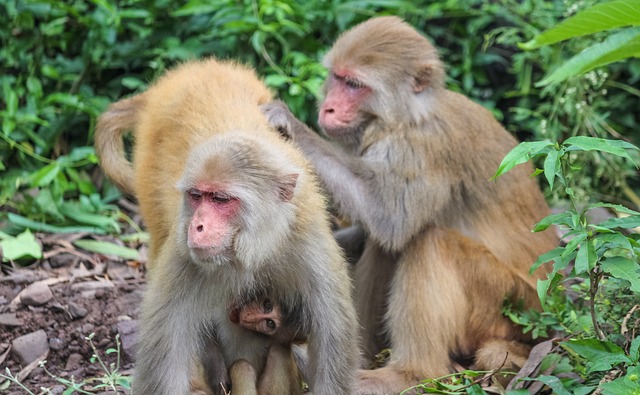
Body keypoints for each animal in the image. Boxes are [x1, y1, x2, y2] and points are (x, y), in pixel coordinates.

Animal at [94, 58, 360, 395]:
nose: (198, 226)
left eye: (220, 199)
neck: (255, 249)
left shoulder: (310, 246)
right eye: (196, 196)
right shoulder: (184, 258)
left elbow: (330, 353)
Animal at [262, 14, 560, 392]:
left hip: (507, 306)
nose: (328, 108)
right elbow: (371, 230)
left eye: (355, 85)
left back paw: (409, 373)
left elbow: (390, 218)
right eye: (338, 78)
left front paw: (285, 121)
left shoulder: (424, 148)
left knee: (428, 241)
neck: (407, 117)